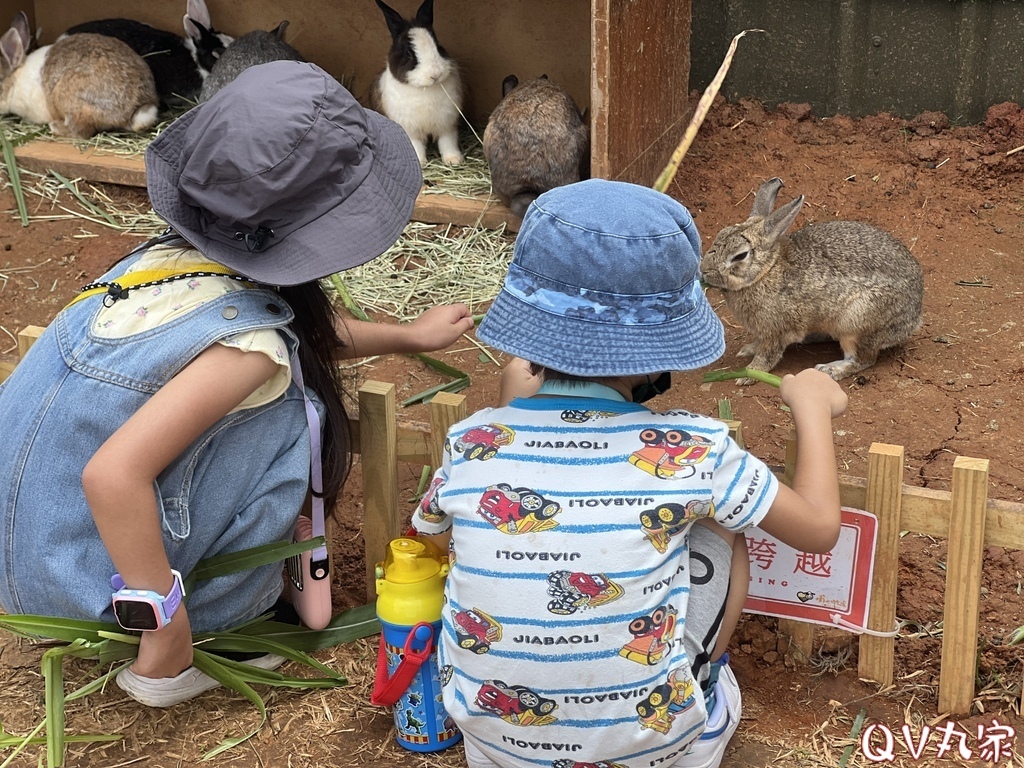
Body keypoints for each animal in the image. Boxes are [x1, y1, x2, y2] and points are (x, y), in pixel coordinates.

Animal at [368, 0, 464, 166]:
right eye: (408, 53)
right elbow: (416, 146)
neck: (425, 88)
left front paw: (454, 160)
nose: (435, 74)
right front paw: (419, 162)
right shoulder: (409, 129)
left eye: (438, 45)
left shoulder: (447, 125)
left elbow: (448, 142)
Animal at [700, 178, 925, 382]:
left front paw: (748, 374)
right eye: (720, 234)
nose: (703, 270)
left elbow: (768, 355)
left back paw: (830, 369)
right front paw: (747, 349)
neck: (765, 272)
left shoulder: (776, 331)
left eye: (740, 256)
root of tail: (913, 319)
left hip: (857, 322)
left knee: (863, 359)